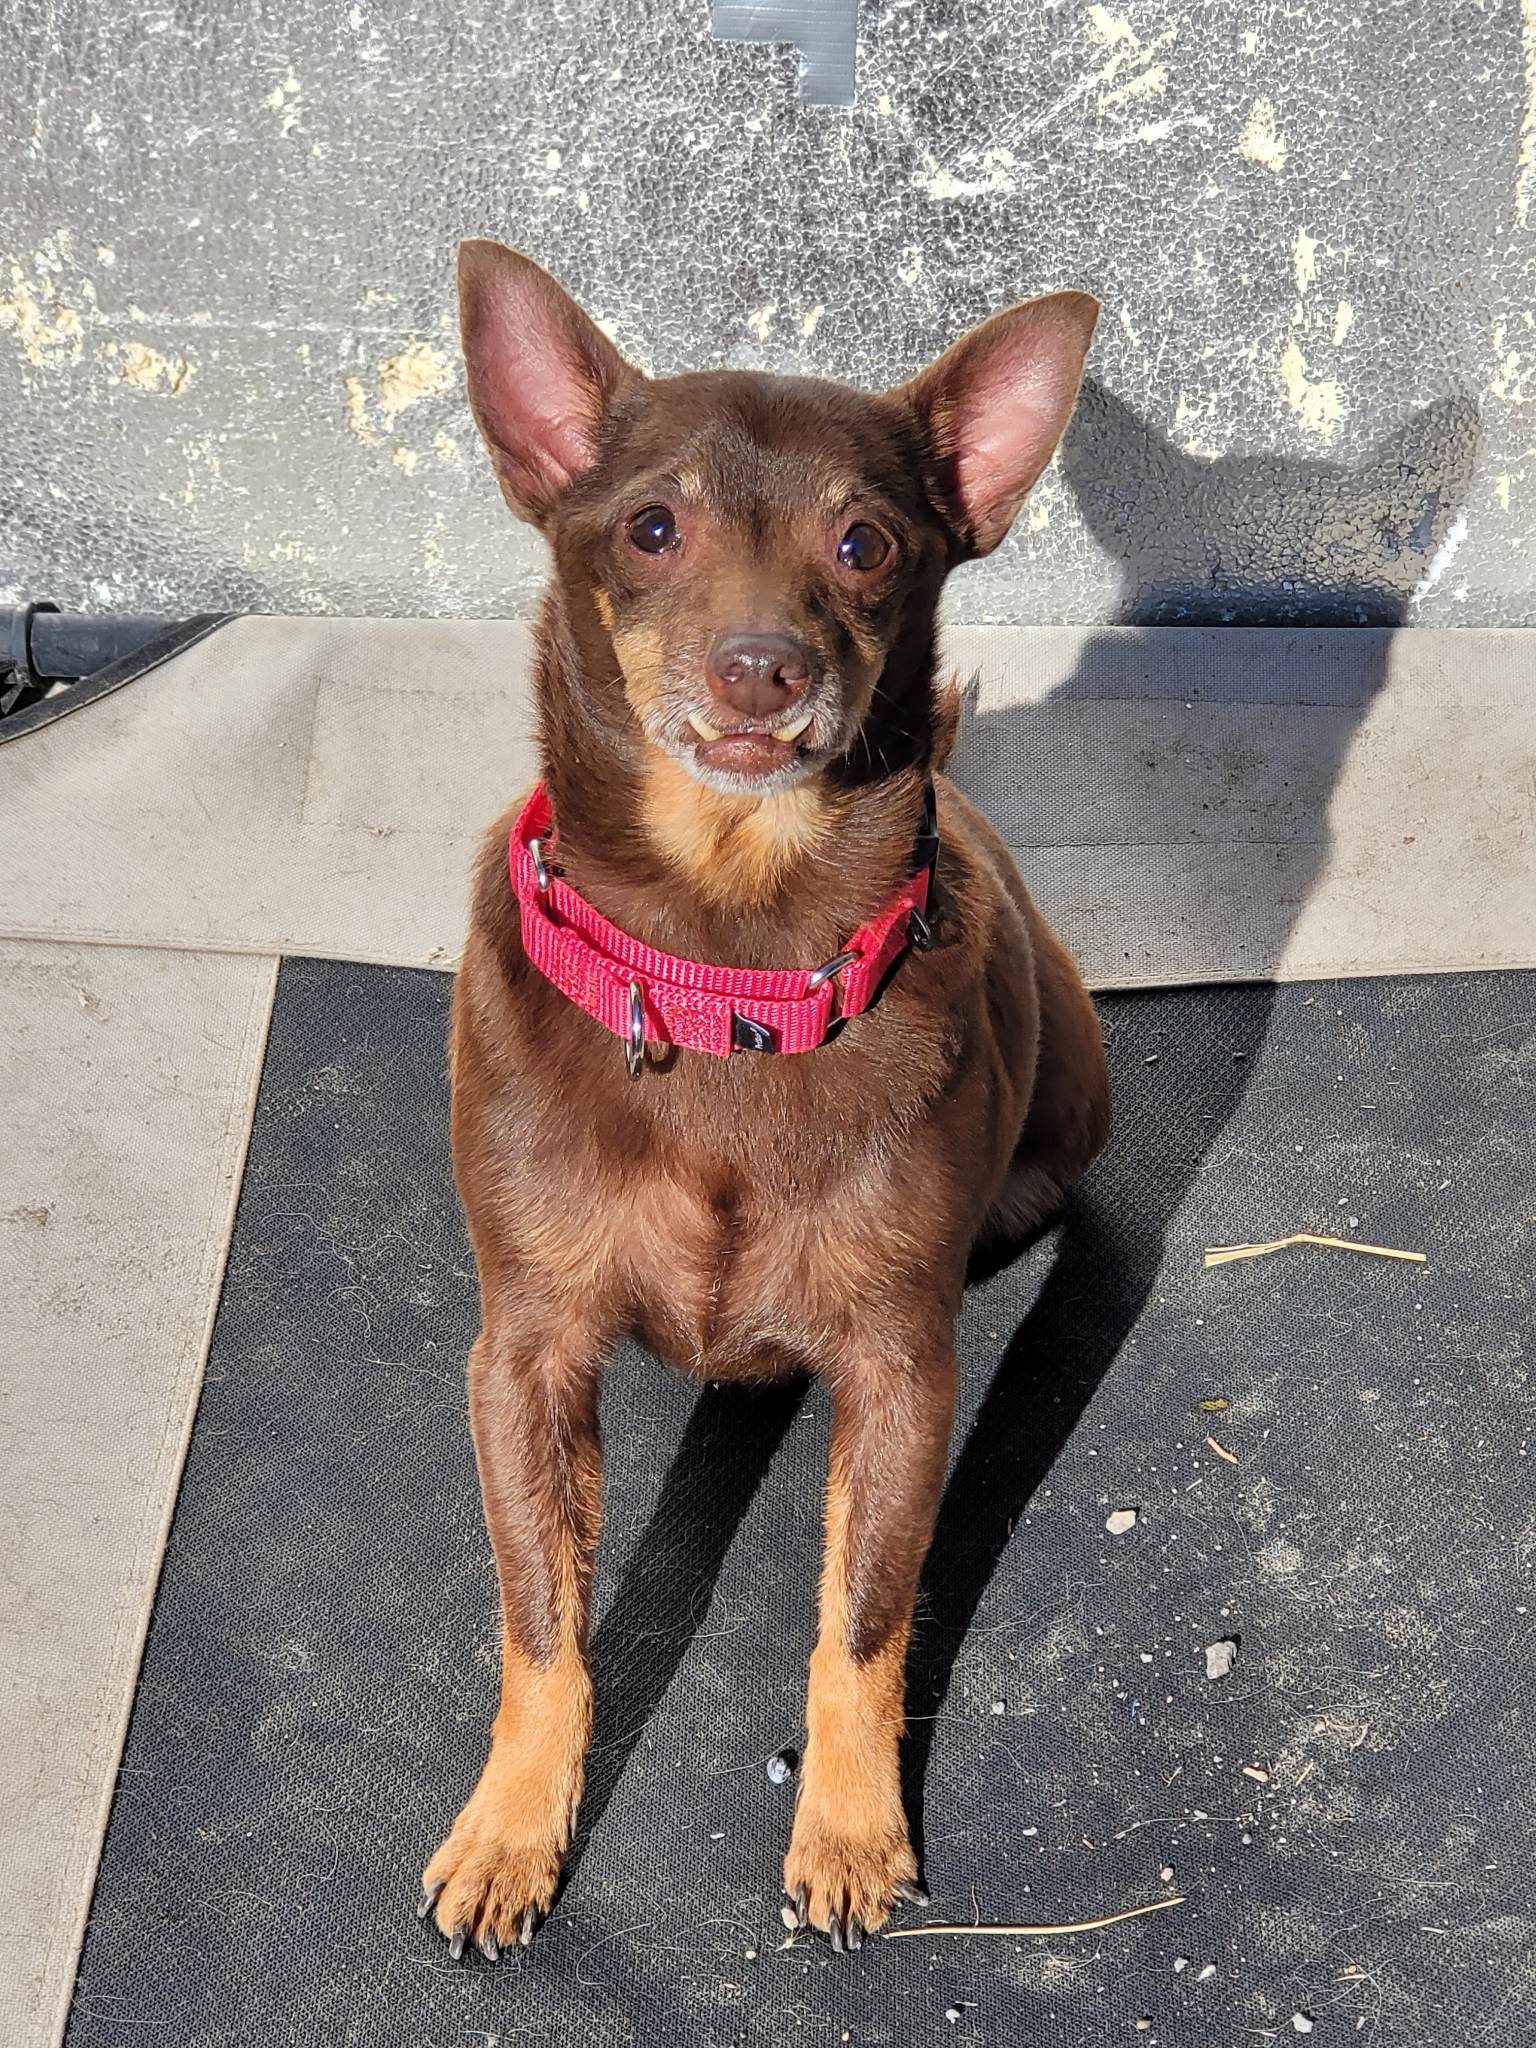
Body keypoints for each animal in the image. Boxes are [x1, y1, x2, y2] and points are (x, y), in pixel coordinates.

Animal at [419, 239, 1111, 1959]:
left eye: (865, 547)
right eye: (650, 530)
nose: (763, 667)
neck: (728, 963)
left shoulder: (902, 1375)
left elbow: (861, 1618)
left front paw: (852, 1829)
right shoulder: (523, 1357)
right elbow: (545, 1623)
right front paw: (514, 1827)